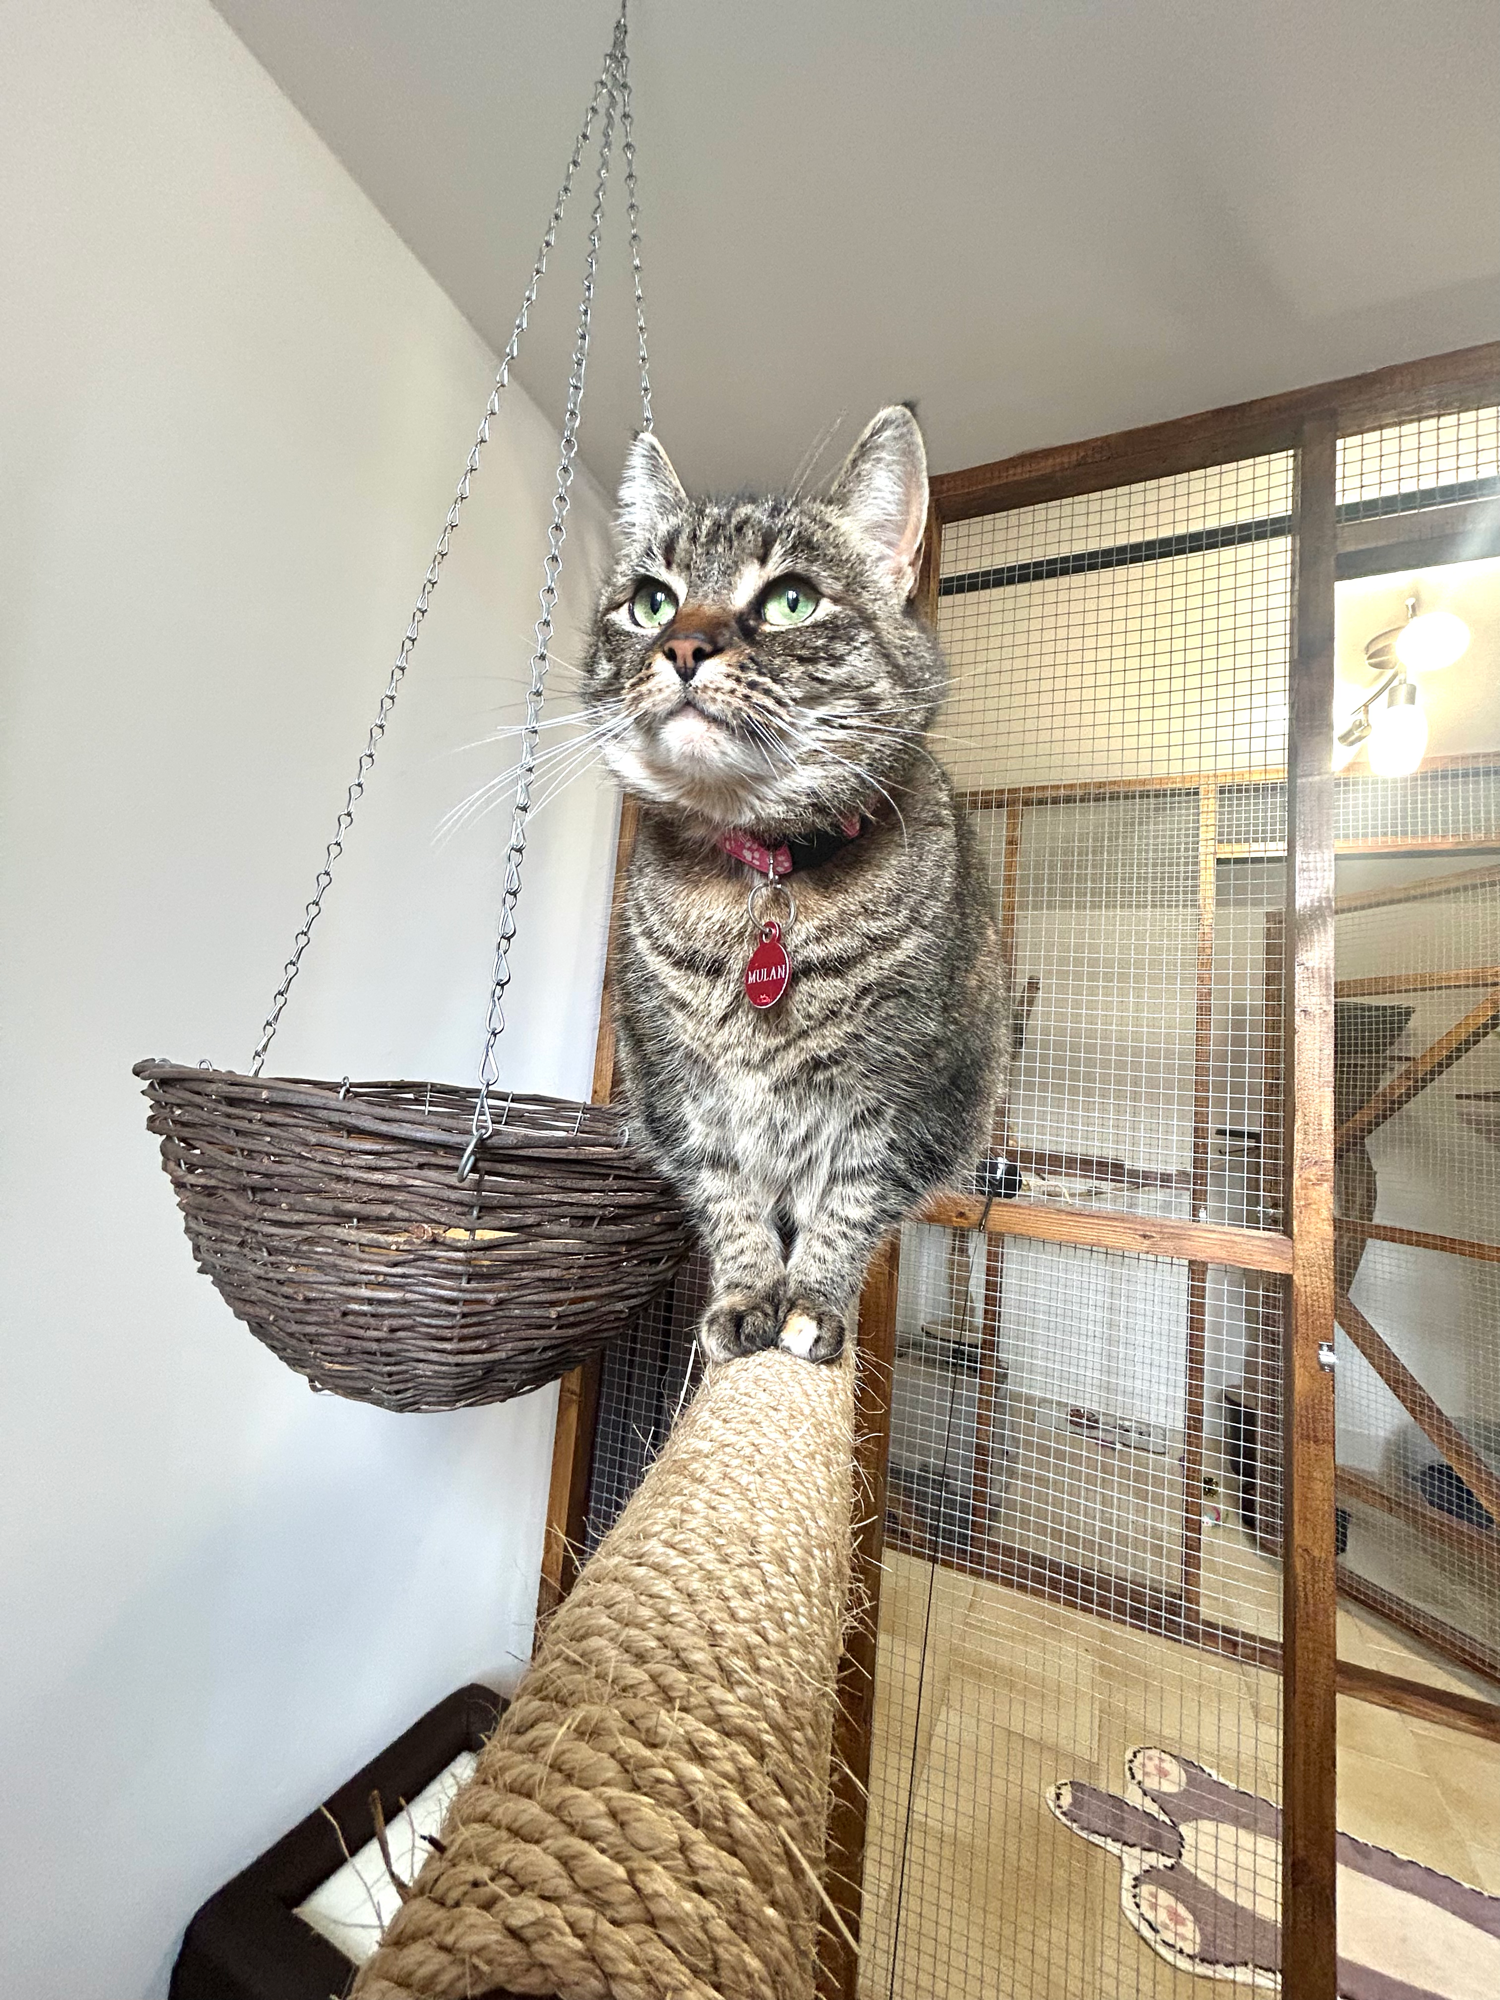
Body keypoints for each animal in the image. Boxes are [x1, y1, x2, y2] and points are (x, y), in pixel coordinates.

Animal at [580, 406, 1010, 1363]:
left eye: (790, 600)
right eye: (651, 601)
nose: (682, 645)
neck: (765, 876)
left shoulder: (899, 1098)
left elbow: (848, 1205)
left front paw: (810, 1303)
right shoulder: (680, 1095)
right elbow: (728, 1198)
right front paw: (747, 1297)